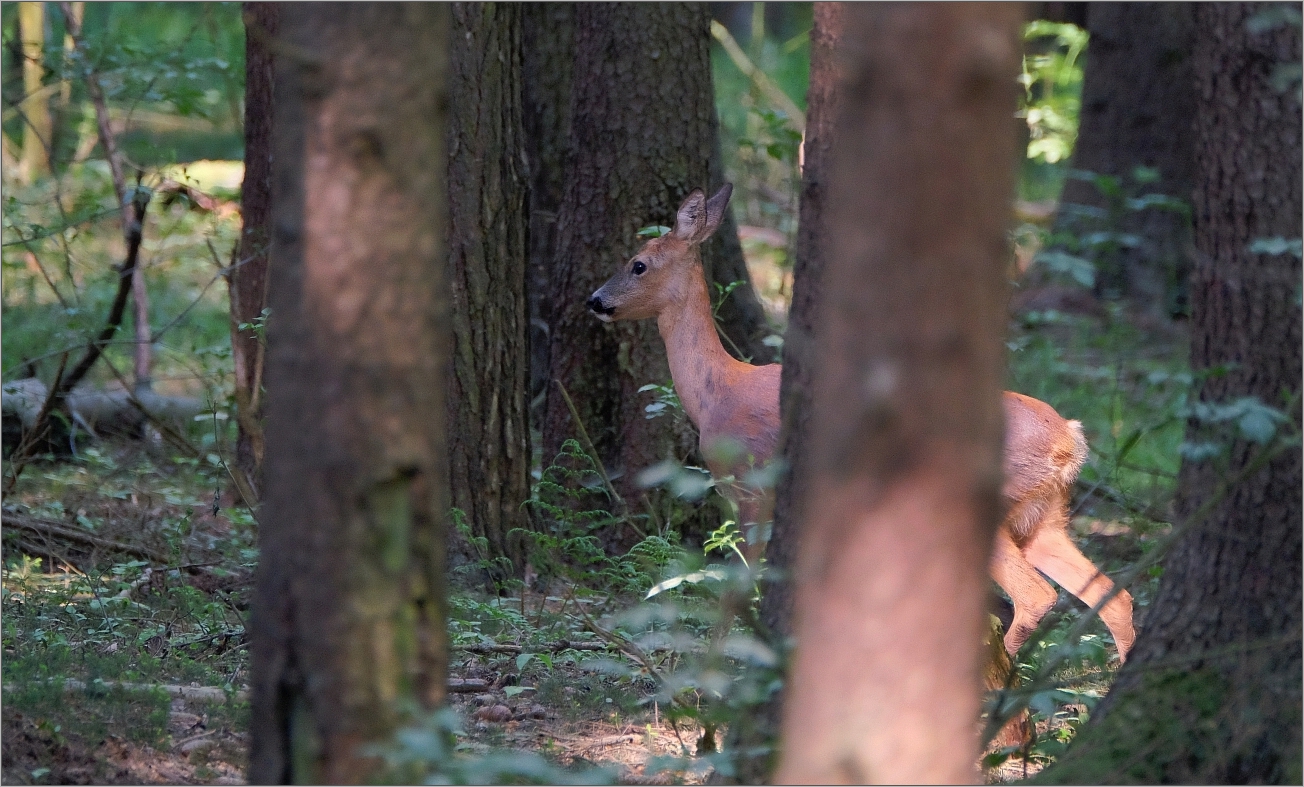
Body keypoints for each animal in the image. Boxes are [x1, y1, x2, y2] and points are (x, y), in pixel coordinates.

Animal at [586, 185, 1137, 664]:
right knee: (1115, 596)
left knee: (1036, 597)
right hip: (1044, 517)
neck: (716, 391)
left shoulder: (751, 486)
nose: (595, 300)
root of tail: (1070, 438)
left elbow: (740, 587)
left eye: (637, 264)